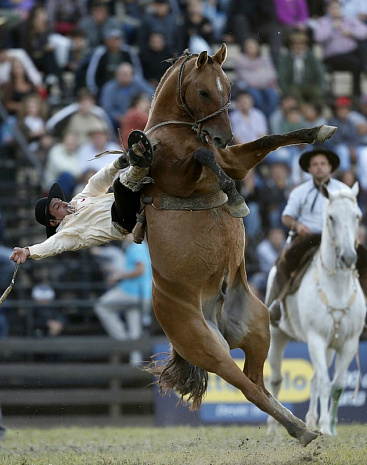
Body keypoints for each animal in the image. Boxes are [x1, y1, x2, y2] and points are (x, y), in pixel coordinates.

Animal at [142, 44, 338, 446]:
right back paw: (301, 430)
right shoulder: (178, 177)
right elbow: (202, 157)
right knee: (246, 388)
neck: (176, 132)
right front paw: (234, 198)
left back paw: (298, 424)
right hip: (209, 348)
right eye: (204, 91)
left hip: (259, 326)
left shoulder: (234, 160)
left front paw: (319, 130)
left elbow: (268, 140)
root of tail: (213, 312)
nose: (223, 136)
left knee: (258, 383)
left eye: (228, 87)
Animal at [266, 183, 366, 436]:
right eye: (331, 217)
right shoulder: (315, 339)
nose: (348, 257)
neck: (336, 288)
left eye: (357, 215)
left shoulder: (348, 342)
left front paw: (328, 428)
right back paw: (273, 428)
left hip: (330, 346)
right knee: (276, 379)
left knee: (312, 381)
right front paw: (324, 426)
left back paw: (311, 420)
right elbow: (323, 383)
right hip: (277, 334)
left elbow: (336, 385)